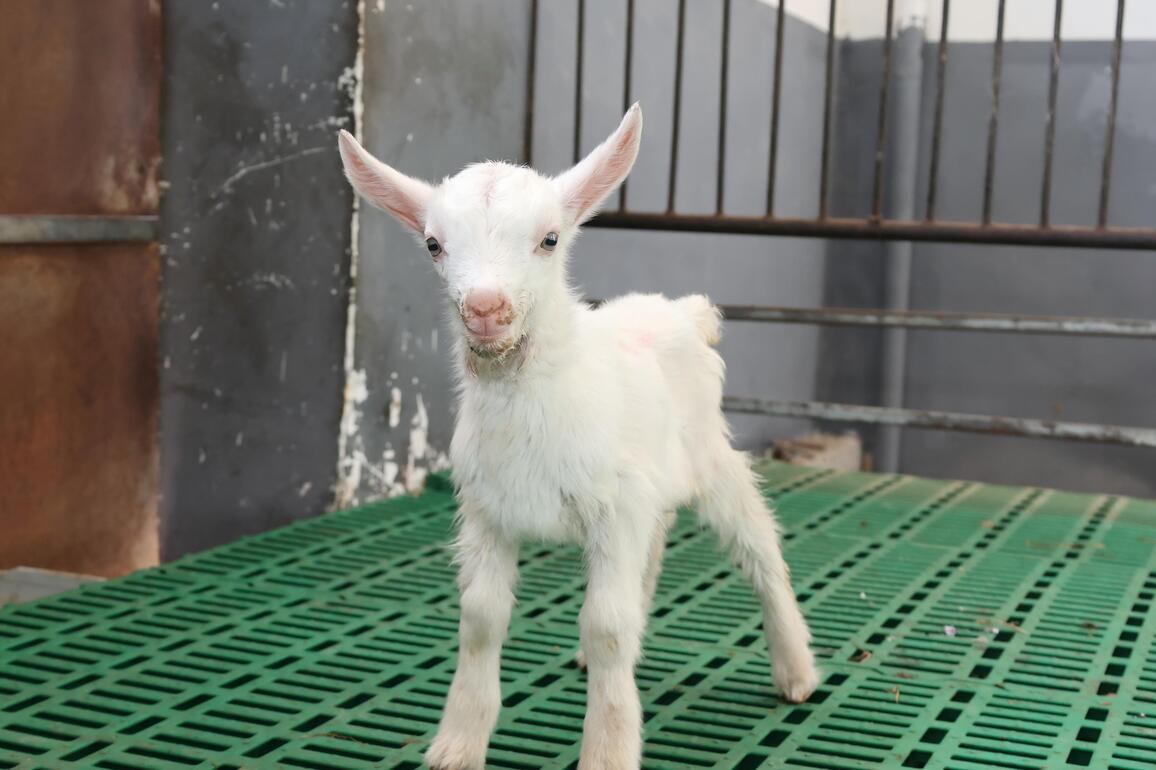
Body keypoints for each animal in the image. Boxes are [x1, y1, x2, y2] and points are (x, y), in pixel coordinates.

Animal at [338, 104, 818, 770]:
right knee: (656, 545)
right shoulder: (488, 513)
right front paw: (457, 743)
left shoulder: (613, 510)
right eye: (434, 245)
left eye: (550, 239)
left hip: (710, 456)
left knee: (759, 546)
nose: (484, 309)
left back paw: (796, 669)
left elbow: (606, 624)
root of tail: (682, 311)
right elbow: (481, 617)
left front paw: (609, 749)